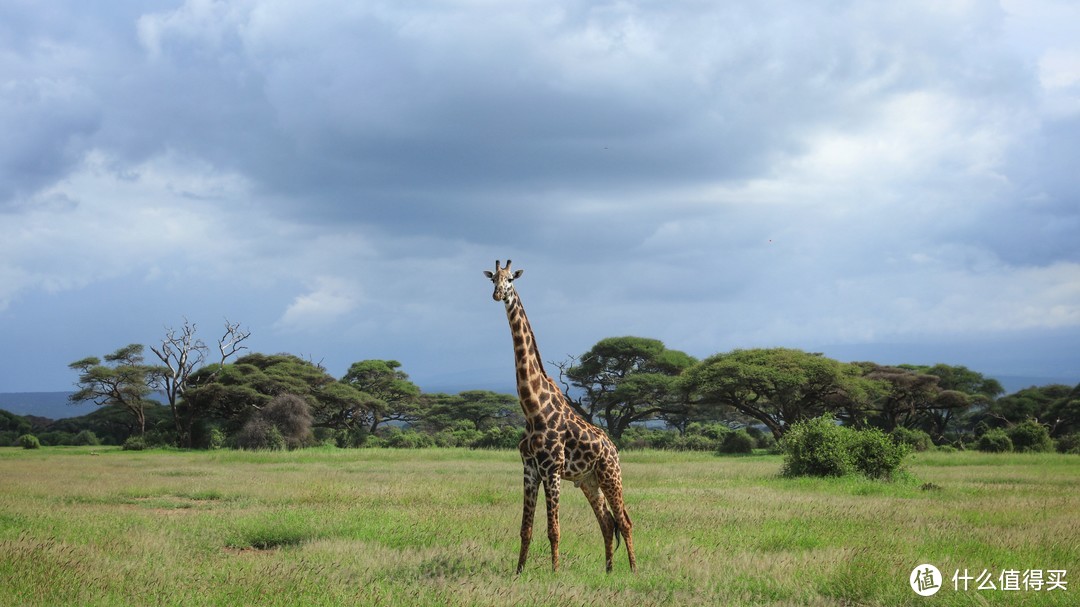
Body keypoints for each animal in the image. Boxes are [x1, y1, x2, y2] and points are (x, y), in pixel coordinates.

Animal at [481, 257, 630, 570]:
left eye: (510, 279)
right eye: (492, 279)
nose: (498, 295)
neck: (532, 408)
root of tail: (613, 447)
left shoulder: (552, 470)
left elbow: (554, 529)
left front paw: (554, 572)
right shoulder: (529, 470)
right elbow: (526, 529)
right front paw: (519, 572)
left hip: (611, 475)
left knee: (625, 521)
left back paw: (634, 571)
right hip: (590, 482)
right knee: (607, 522)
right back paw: (609, 571)